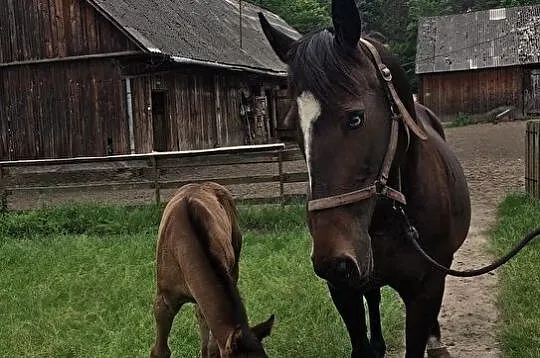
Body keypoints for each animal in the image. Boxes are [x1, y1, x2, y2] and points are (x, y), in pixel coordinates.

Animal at [260, 1, 470, 356]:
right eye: (290, 127)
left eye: (356, 118)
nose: (333, 259)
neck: (391, 218)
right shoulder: (343, 289)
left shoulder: (426, 291)